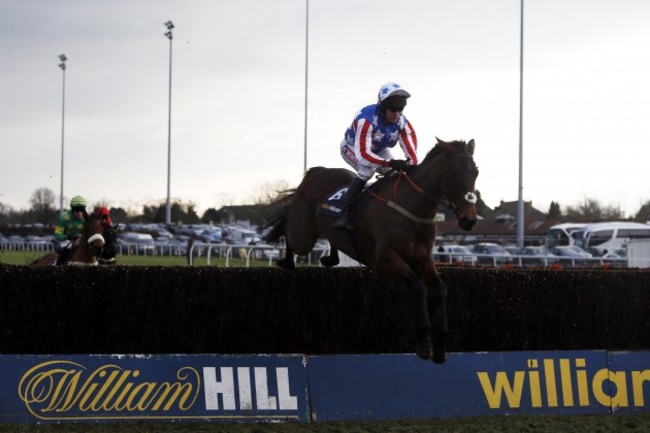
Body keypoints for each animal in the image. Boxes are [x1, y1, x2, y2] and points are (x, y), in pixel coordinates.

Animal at [260, 138, 478, 362]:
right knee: (290, 233)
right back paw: (287, 261)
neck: (412, 207)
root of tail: (316, 172)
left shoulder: (422, 259)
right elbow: (419, 287)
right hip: (303, 234)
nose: (469, 219)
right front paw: (425, 342)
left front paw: (441, 343)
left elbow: (440, 289)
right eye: (455, 172)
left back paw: (330, 258)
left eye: (476, 172)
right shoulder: (384, 259)